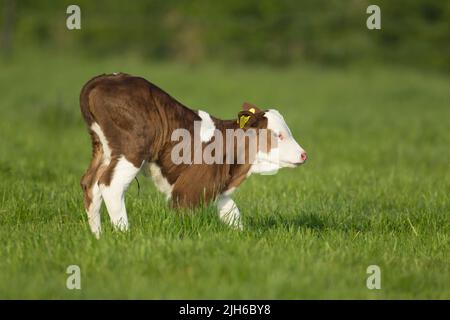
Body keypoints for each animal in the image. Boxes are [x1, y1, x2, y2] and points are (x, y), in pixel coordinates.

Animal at [79, 73, 308, 238]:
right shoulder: (189, 188)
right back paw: (124, 235)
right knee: (110, 185)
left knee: (90, 183)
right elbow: (184, 212)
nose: (303, 155)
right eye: (278, 134)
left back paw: (97, 236)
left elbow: (232, 213)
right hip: (132, 149)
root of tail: (105, 78)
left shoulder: (215, 184)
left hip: (103, 148)